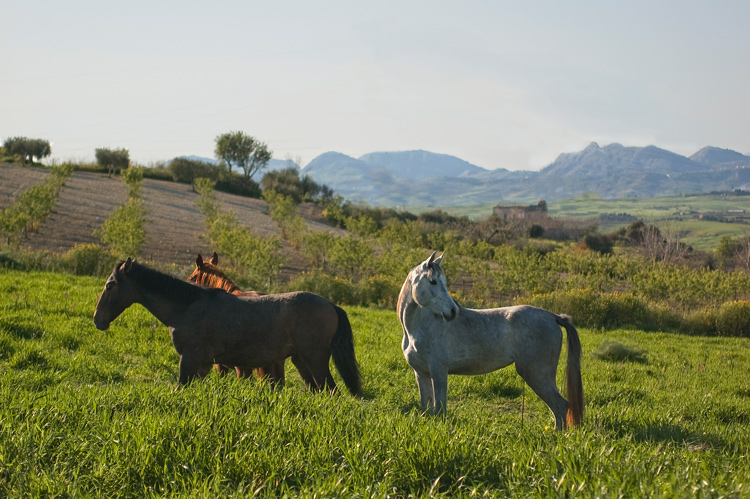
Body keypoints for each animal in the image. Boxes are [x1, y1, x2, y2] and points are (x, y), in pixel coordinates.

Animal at [398, 251, 584, 430]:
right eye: (433, 281)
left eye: (443, 281)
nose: (453, 311)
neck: (419, 327)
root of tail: (554, 317)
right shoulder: (421, 373)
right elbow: (426, 408)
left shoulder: (439, 372)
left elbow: (440, 408)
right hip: (546, 375)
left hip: (536, 374)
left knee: (560, 406)